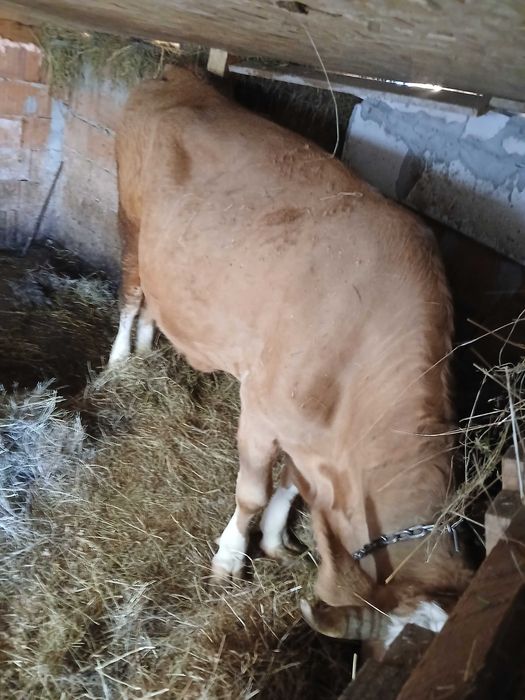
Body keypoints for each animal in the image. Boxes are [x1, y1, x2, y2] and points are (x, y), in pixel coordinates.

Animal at [108, 65, 472, 652]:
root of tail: (178, 71)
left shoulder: (314, 437)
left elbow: (291, 484)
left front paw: (278, 541)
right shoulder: (261, 407)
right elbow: (254, 493)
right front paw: (230, 559)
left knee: (153, 306)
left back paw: (144, 352)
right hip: (130, 219)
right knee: (129, 294)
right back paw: (120, 362)